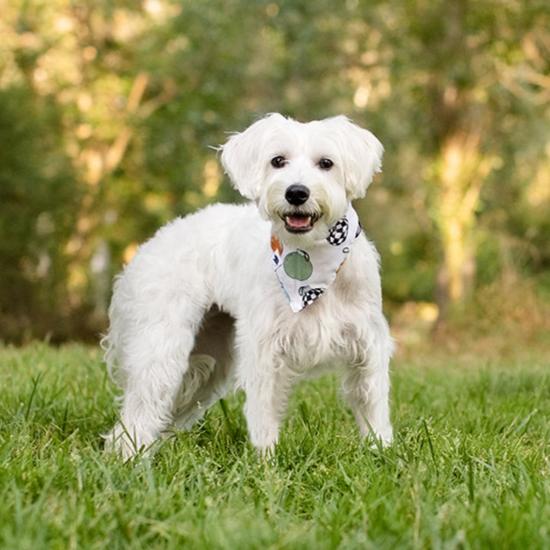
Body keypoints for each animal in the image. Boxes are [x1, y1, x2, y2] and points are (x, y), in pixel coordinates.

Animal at [103, 114, 394, 460]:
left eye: (327, 163)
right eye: (277, 161)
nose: (297, 193)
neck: (313, 261)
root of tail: (149, 244)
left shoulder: (367, 345)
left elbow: (372, 404)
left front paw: (383, 452)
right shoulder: (264, 349)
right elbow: (263, 412)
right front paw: (266, 461)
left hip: (208, 364)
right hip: (162, 349)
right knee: (140, 412)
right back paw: (128, 458)